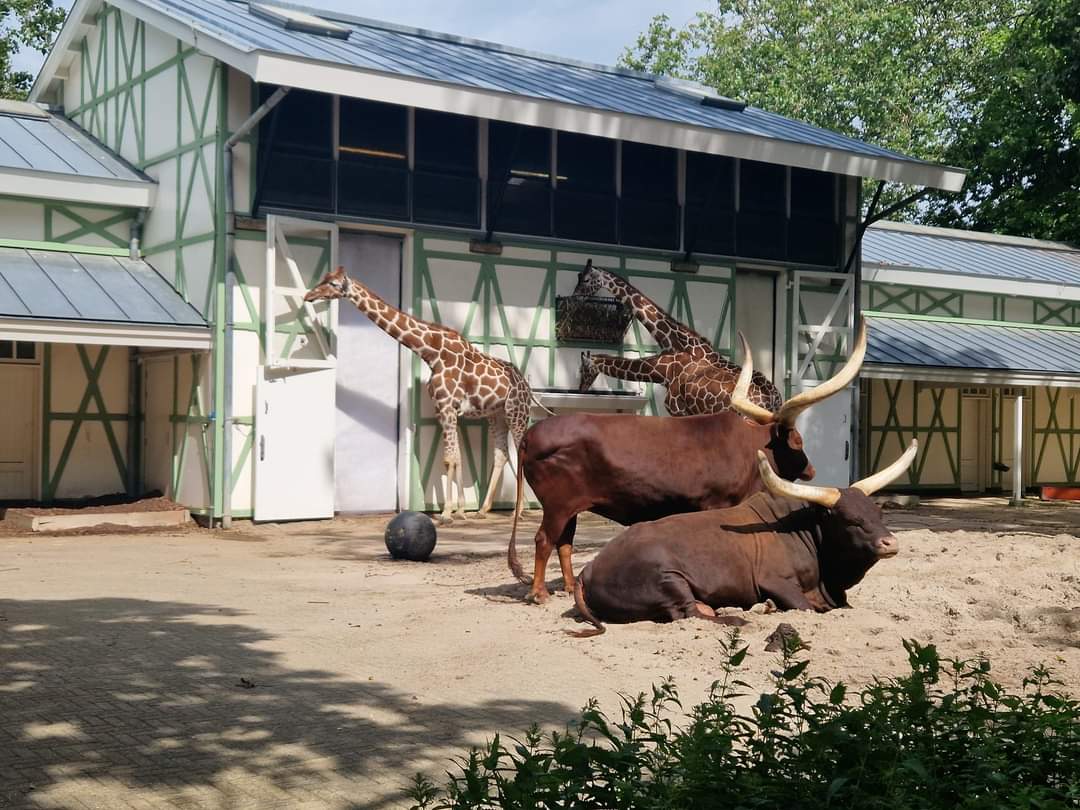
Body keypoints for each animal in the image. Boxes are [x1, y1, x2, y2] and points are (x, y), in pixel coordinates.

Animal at [305, 267, 534, 524]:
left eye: (333, 284)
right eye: (324, 278)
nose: (308, 296)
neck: (431, 352)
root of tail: (526, 385)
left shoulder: (447, 407)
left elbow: (449, 458)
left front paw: (446, 513)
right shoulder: (444, 409)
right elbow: (456, 457)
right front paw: (460, 510)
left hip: (517, 412)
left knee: (521, 452)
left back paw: (518, 511)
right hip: (496, 415)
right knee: (501, 454)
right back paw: (485, 509)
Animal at [507, 321, 869, 604]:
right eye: (799, 441)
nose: (811, 469)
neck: (751, 447)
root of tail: (533, 433)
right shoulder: (716, 504)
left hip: (570, 506)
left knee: (564, 543)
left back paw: (568, 587)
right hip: (557, 505)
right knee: (545, 540)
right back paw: (538, 593)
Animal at [571, 439, 918, 636]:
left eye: (878, 515)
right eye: (850, 520)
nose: (891, 543)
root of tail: (589, 568)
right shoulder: (776, 580)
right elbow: (804, 607)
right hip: (667, 579)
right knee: (688, 613)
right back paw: (741, 618)